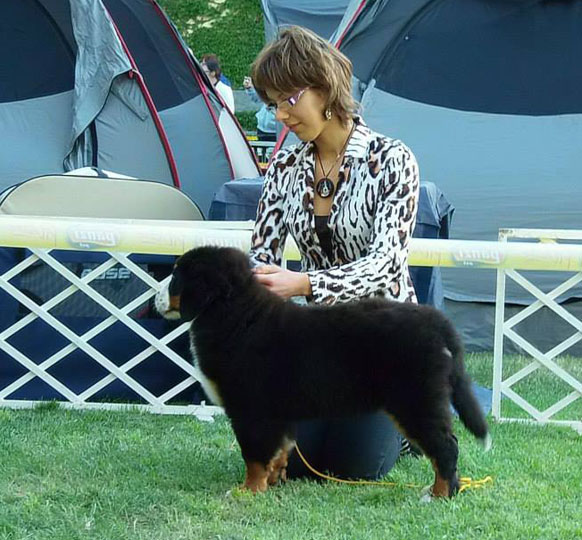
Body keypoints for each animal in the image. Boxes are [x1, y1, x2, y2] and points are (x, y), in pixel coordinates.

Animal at [156, 246, 490, 497]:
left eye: (176, 275)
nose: (155, 297)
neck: (237, 315)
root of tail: (436, 320)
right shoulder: (277, 414)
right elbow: (279, 450)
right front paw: (273, 482)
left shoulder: (250, 410)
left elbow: (253, 454)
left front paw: (248, 490)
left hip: (416, 399)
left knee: (446, 446)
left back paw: (439, 494)